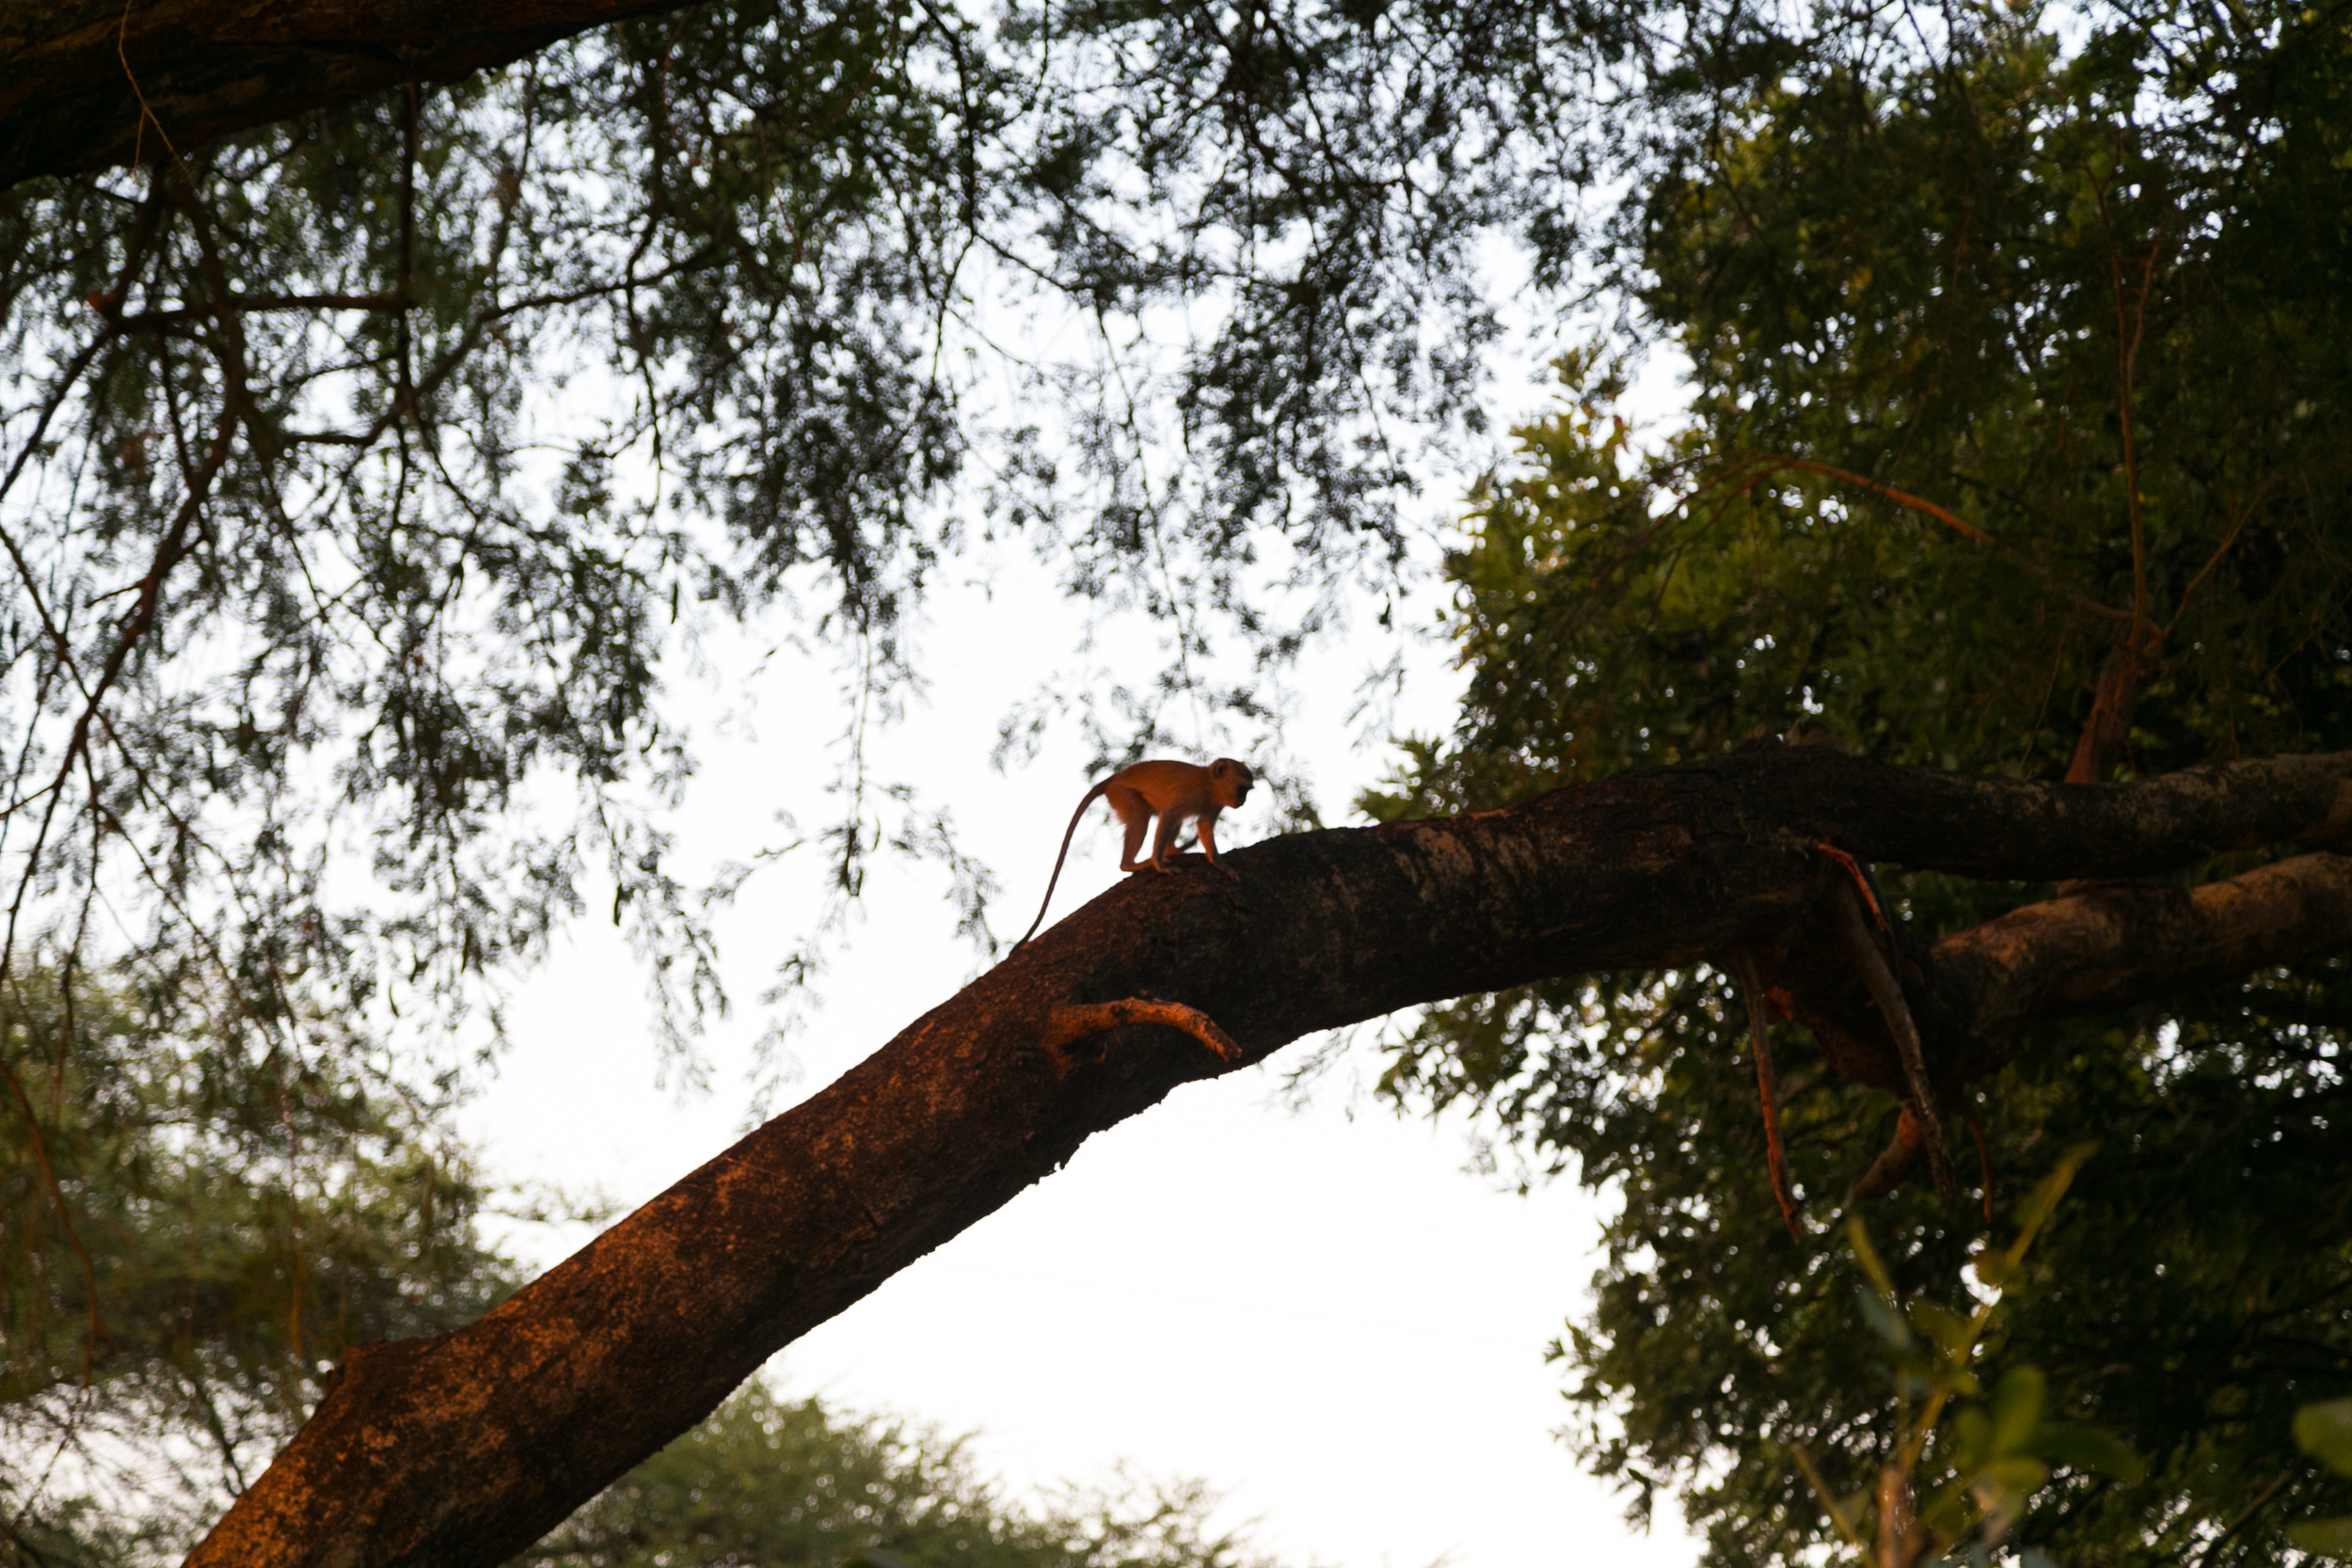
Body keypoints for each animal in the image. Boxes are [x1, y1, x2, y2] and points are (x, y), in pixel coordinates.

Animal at [1013, 758, 1254, 950]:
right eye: (1243, 789)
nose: (1242, 802)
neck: (1209, 784)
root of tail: (1115, 777)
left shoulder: (1214, 805)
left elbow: (1203, 826)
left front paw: (1220, 864)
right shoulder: (1191, 793)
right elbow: (1170, 814)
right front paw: (1159, 865)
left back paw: (1172, 850)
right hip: (1121, 794)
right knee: (1141, 816)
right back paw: (1133, 863)